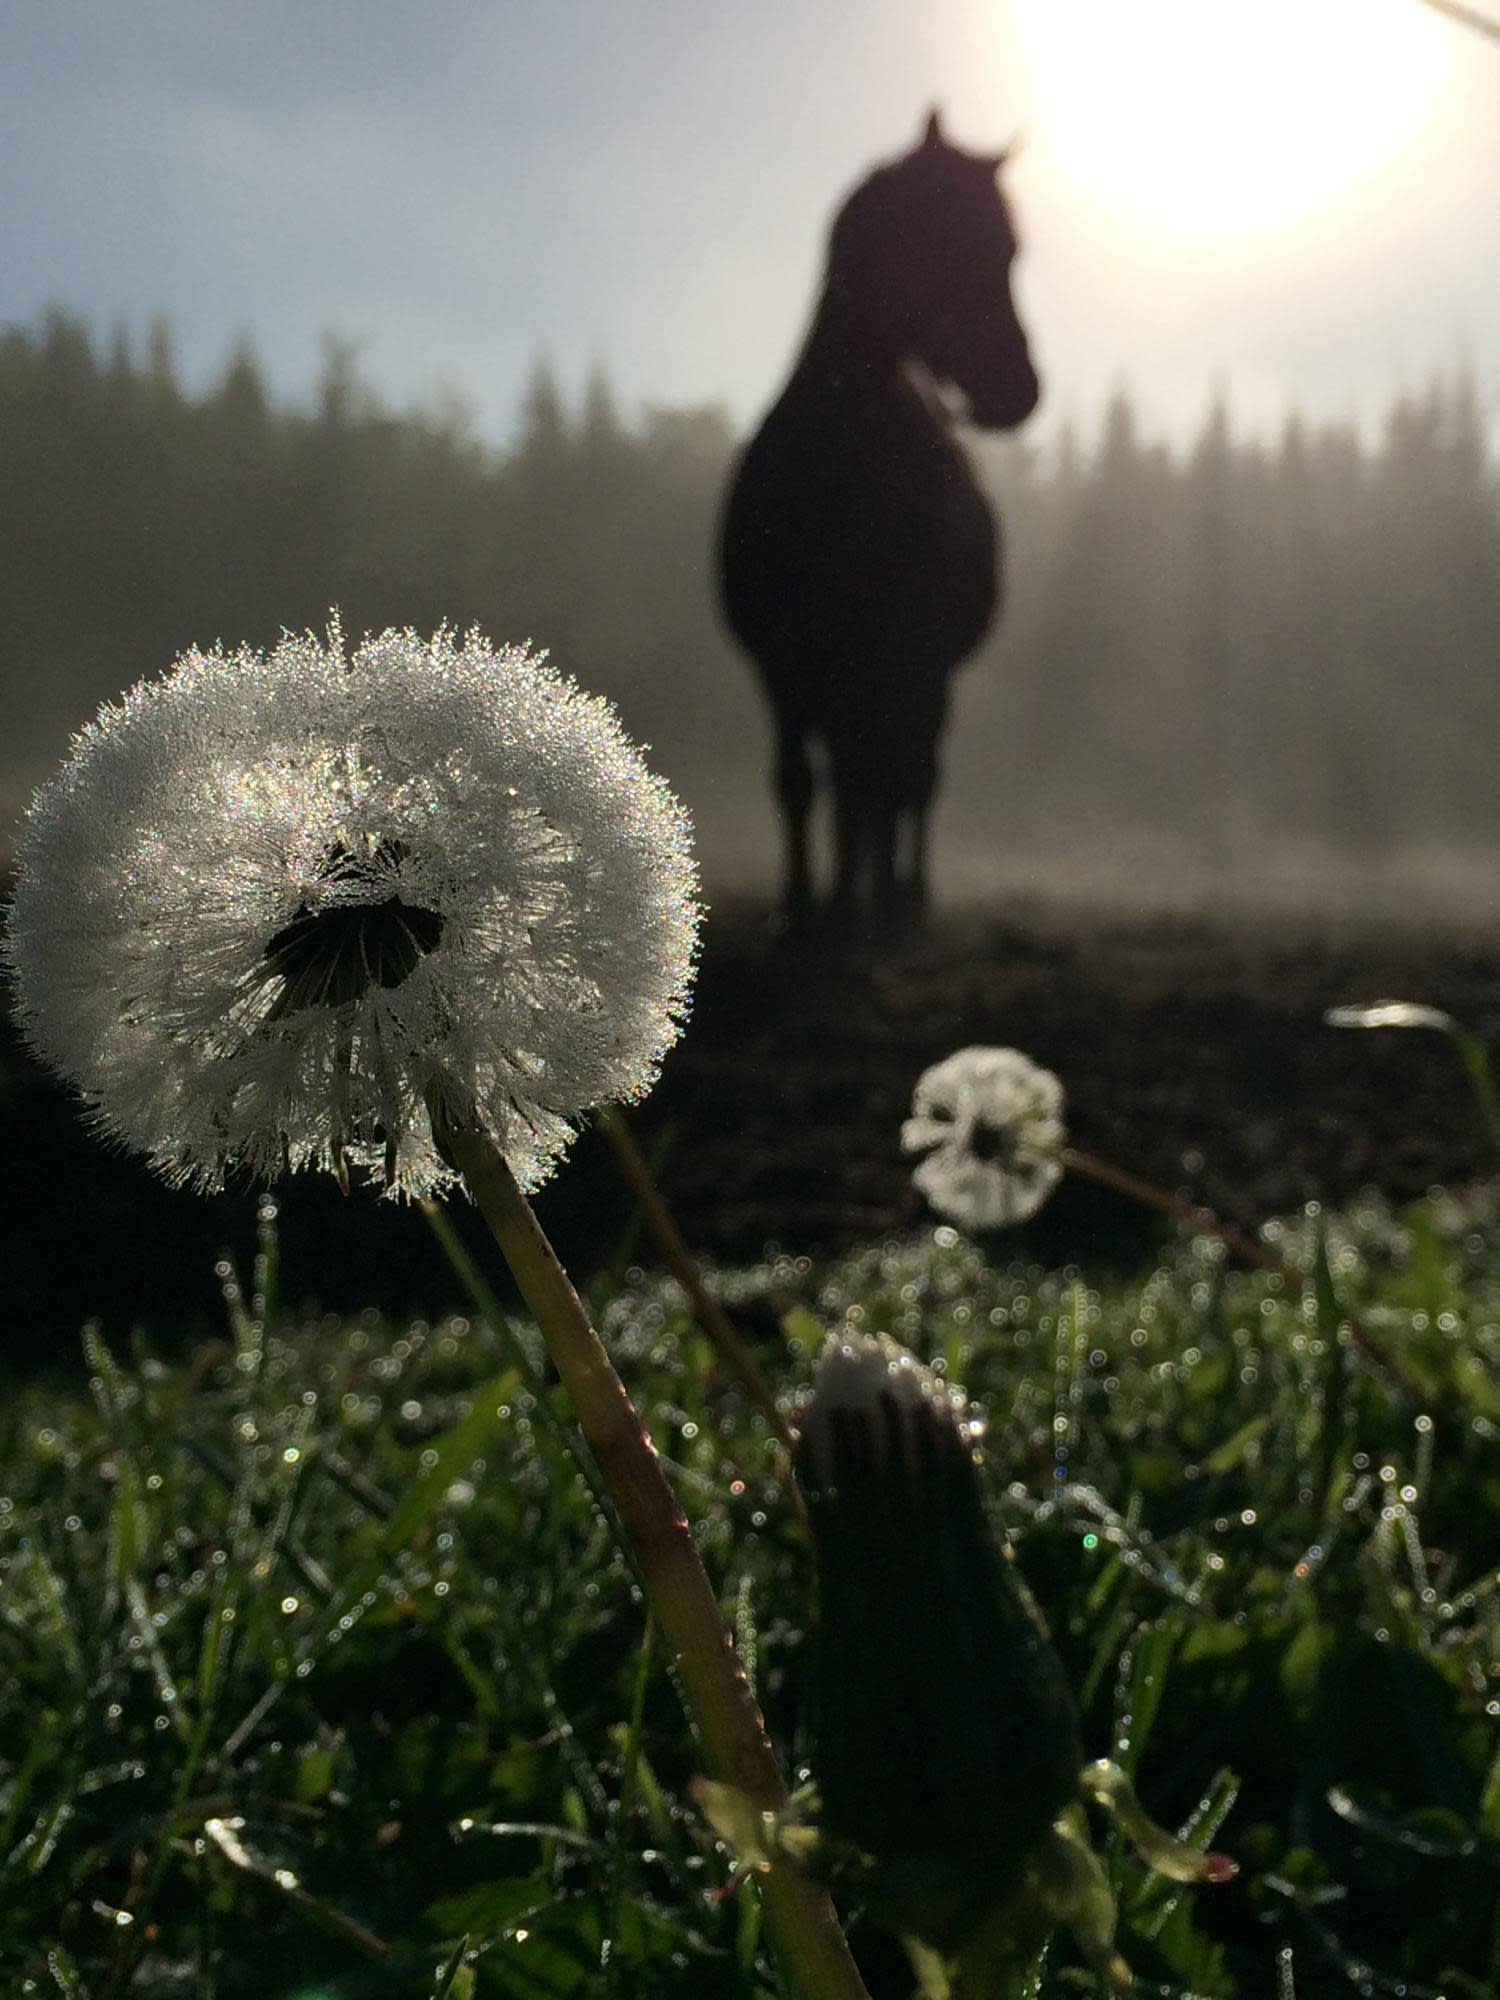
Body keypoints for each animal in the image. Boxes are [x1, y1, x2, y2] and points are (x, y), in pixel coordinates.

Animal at [719, 110, 1040, 930]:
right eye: (952, 236)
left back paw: (894, 898)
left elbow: (901, 778)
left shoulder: (914, 656)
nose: (1019, 389)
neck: (845, 454)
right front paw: (805, 910)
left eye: (1011, 249)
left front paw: (888, 901)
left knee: (903, 778)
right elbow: (801, 782)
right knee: (857, 781)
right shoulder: (785, 662)